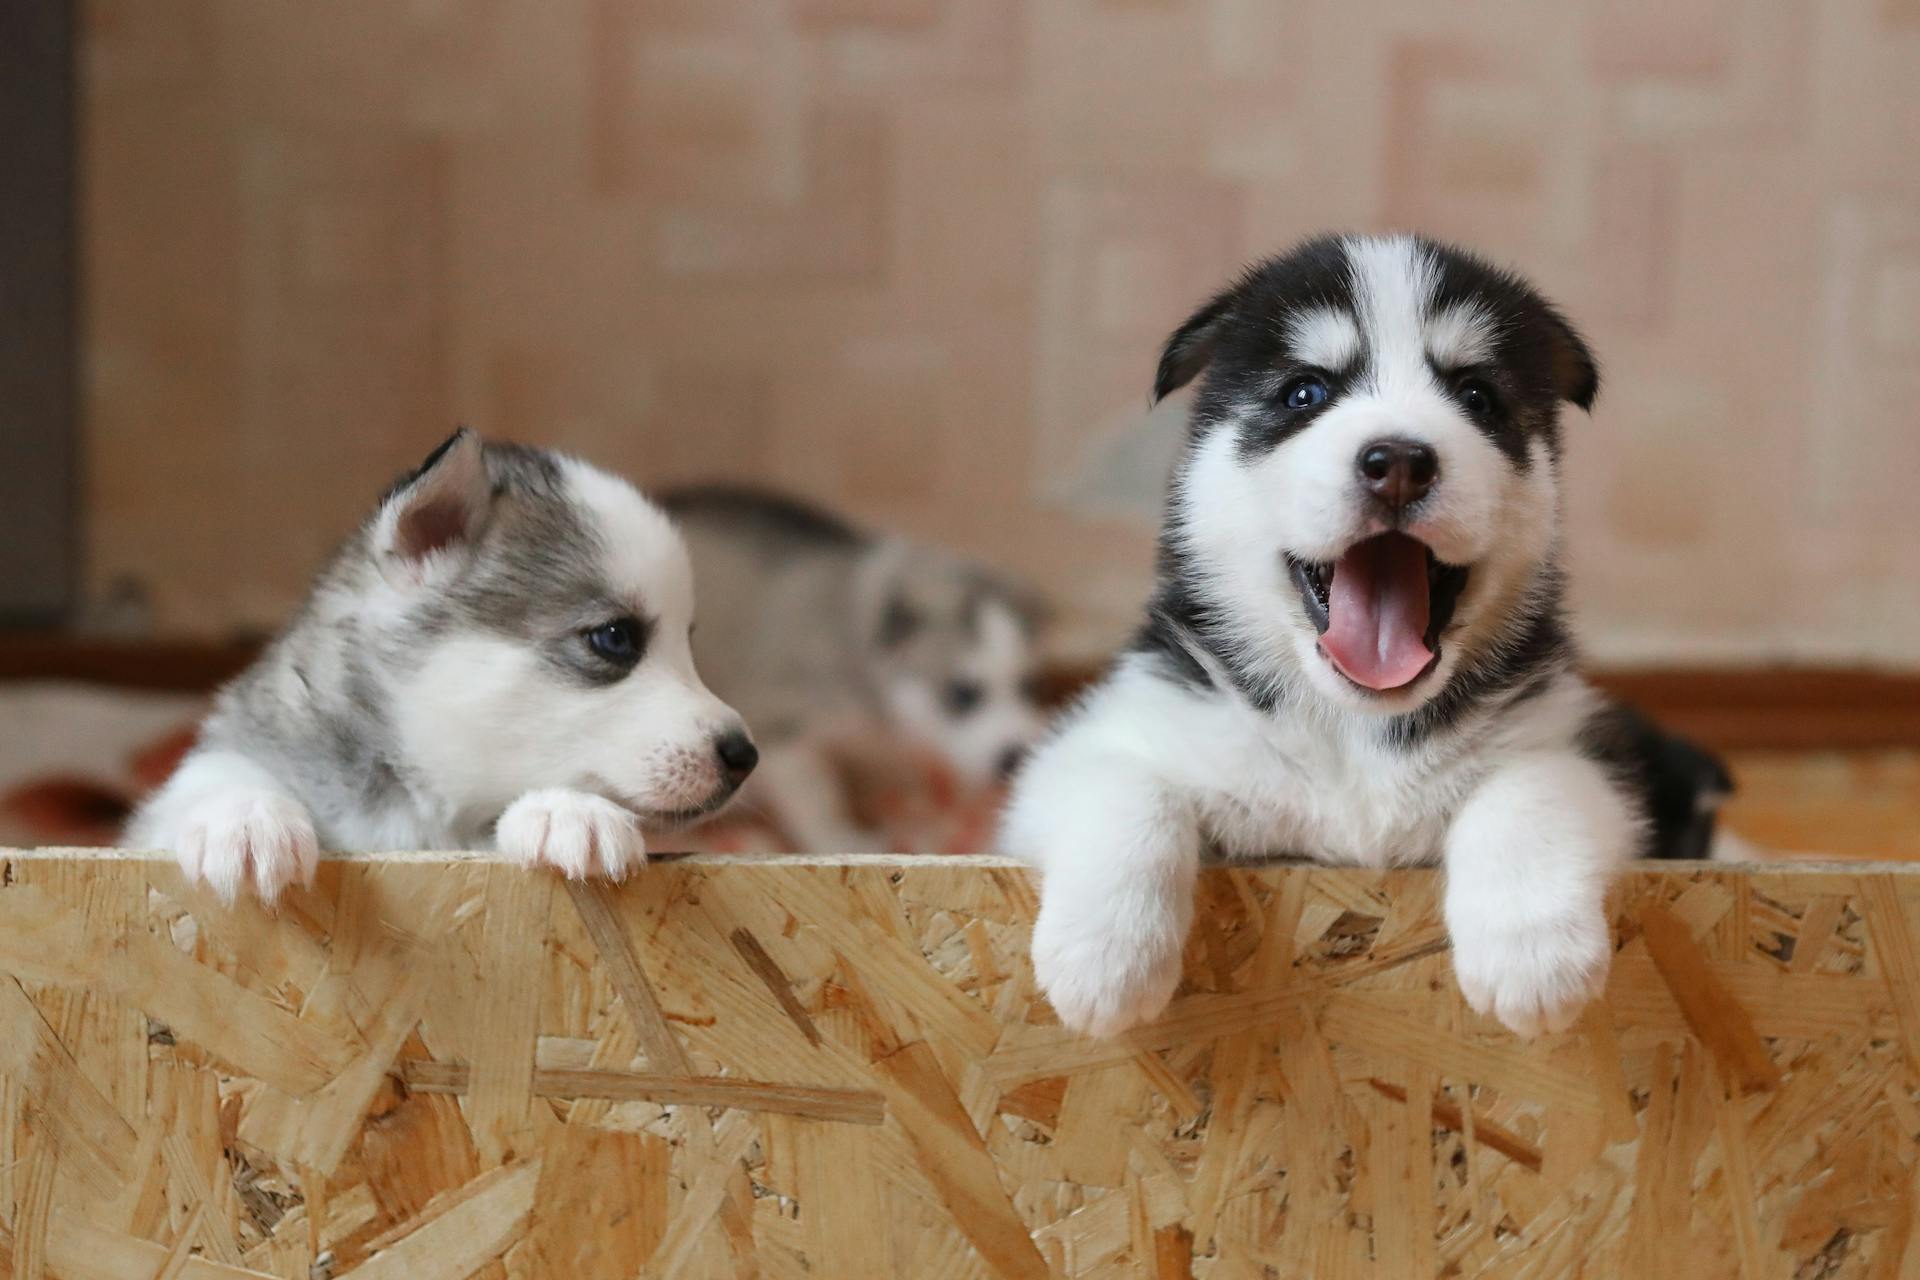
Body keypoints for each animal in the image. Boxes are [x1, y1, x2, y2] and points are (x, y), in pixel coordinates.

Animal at [125, 429, 756, 901]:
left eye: (688, 643)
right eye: (616, 638)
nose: (744, 755)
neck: (418, 808)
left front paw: (568, 810)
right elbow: (217, 772)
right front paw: (245, 818)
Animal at [664, 485, 1052, 855]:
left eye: (1027, 685)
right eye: (962, 693)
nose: (1013, 757)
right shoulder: (781, 730)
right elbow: (818, 797)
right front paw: (840, 840)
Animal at [998, 235, 1735, 1043]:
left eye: (1476, 397)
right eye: (1305, 394)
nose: (1400, 463)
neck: (1355, 733)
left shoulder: (1580, 747)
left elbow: (1530, 788)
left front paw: (1533, 955)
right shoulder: (1107, 737)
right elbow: (1129, 790)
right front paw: (1105, 958)